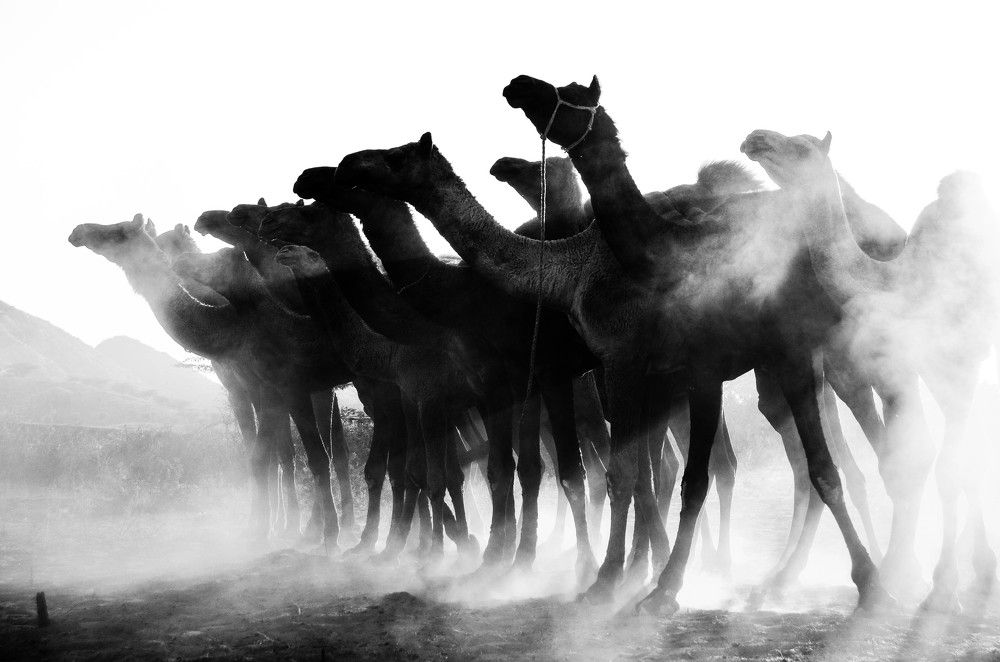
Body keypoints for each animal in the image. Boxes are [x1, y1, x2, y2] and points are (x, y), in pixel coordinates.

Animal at [333, 76, 892, 614]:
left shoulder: (608, 367)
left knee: (856, 446)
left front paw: (615, 579)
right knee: (808, 454)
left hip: (831, 354)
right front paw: (628, 574)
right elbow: (629, 473)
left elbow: (627, 474)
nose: (345, 164)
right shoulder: (625, 373)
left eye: (397, 156)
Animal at [742, 130, 998, 612]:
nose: (755, 138)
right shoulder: (899, 372)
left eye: (802, 147)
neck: (896, 282)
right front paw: (903, 579)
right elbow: (908, 462)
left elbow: (943, 463)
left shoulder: (953, 363)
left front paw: (935, 587)